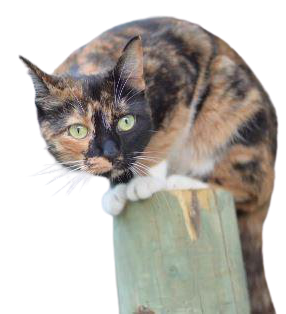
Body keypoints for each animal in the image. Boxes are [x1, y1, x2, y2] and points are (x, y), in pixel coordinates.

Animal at [20, 17, 278, 314]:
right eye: (77, 131)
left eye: (126, 121)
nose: (111, 152)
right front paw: (116, 190)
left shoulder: (180, 80)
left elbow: (164, 137)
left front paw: (145, 181)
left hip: (236, 113)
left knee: (250, 187)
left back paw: (182, 179)